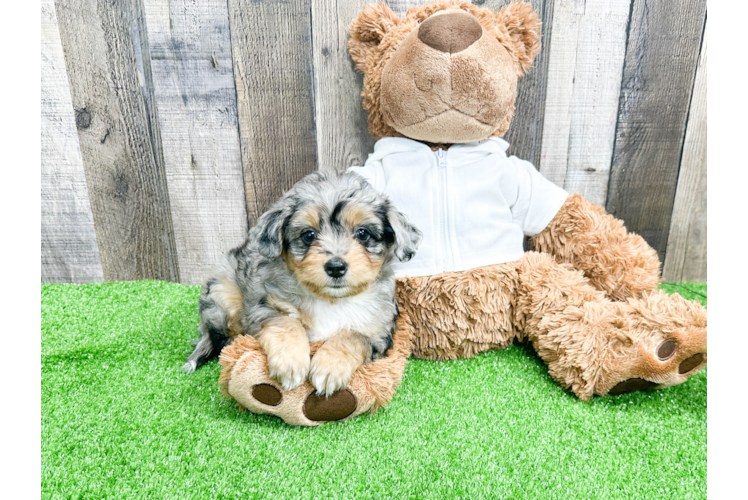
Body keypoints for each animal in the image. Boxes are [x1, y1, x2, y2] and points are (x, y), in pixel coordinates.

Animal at [183, 170, 420, 396]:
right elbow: (286, 324)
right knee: (214, 337)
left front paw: (330, 367)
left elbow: (351, 335)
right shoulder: (263, 307)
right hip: (223, 296)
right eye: (308, 235)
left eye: (362, 233)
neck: (331, 300)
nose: (336, 267)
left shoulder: (378, 330)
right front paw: (290, 363)